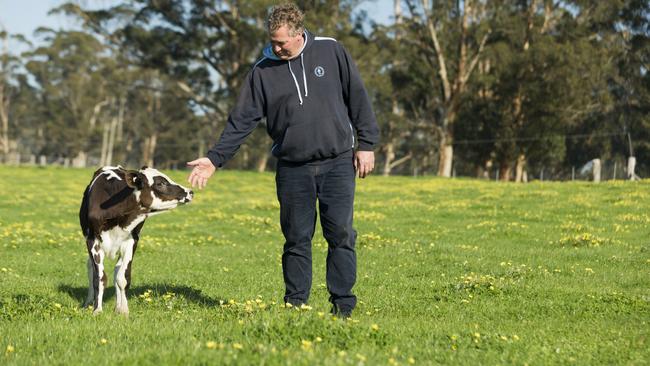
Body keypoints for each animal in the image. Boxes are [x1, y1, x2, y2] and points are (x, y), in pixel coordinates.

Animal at [79, 166, 192, 314]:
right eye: (160, 183)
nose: (190, 191)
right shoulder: (92, 241)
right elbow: (99, 278)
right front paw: (97, 310)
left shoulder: (131, 241)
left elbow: (123, 277)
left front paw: (124, 310)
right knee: (91, 268)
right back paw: (88, 302)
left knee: (117, 270)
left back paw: (117, 306)